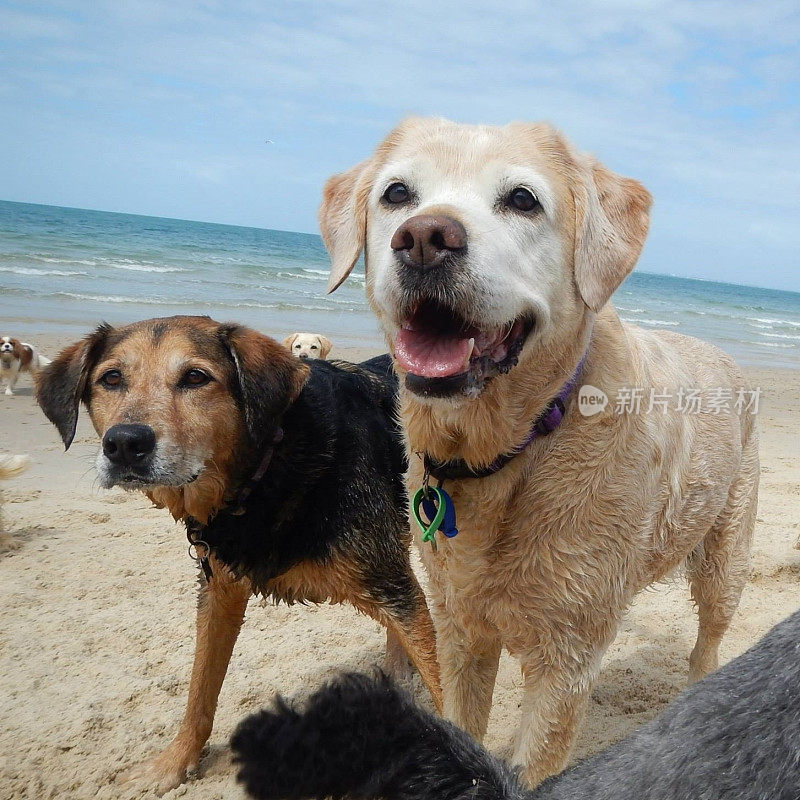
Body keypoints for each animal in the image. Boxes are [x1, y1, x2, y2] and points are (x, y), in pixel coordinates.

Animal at [34, 316, 440, 796]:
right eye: (111, 379)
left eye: (195, 378)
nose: (124, 444)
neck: (270, 463)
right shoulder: (219, 592)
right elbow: (200, 690)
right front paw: (174, 763)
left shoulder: (389, 584)